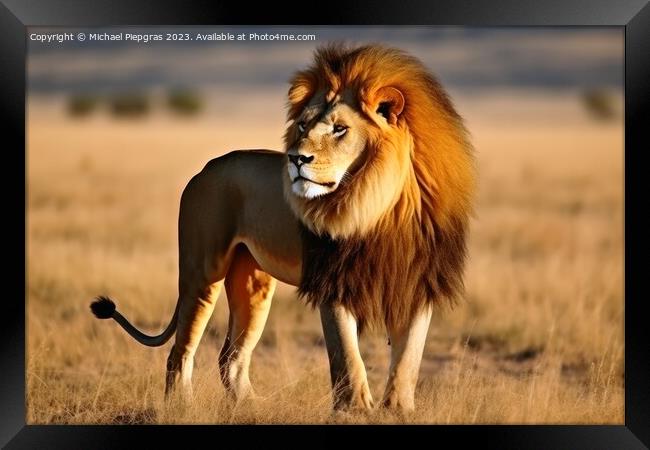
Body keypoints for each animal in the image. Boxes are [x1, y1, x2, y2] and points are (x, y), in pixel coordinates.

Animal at [90, 43, 470, 412]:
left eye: (340, 128)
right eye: (302, 126)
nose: (296, 158)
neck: (383, 209)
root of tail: (206, 169)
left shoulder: (418, 284)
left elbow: (408, 360)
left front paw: (398, 411)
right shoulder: (332, 283)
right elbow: (347, 357)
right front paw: (356, 411)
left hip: (253, 284)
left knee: (231, 356)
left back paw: (252, 407)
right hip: (202, 272)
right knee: (180, 351)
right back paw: (182, 408)